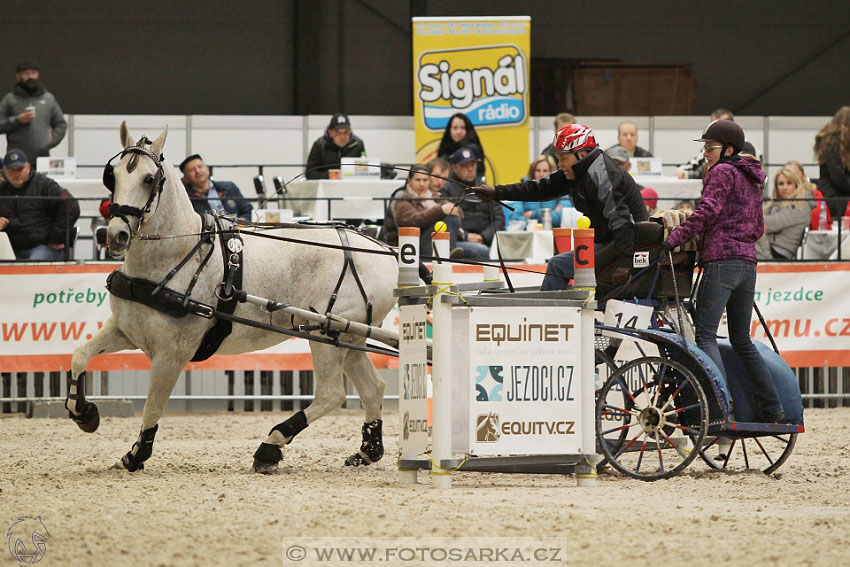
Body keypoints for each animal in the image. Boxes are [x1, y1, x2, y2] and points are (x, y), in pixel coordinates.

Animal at [65, 124, 398, 474]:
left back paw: (270, 447)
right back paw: (366, 451)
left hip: (324, 332)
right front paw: (83, 412)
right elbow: (80, 355)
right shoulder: (125, 331)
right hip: (348, 336)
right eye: (112, 176)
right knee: (373, 388)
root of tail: (386, 250)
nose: (115, 235)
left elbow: (153, 406)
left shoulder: (172, 354)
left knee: (331, 394)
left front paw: (137, 454)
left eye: (148, 179)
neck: (177, 254)